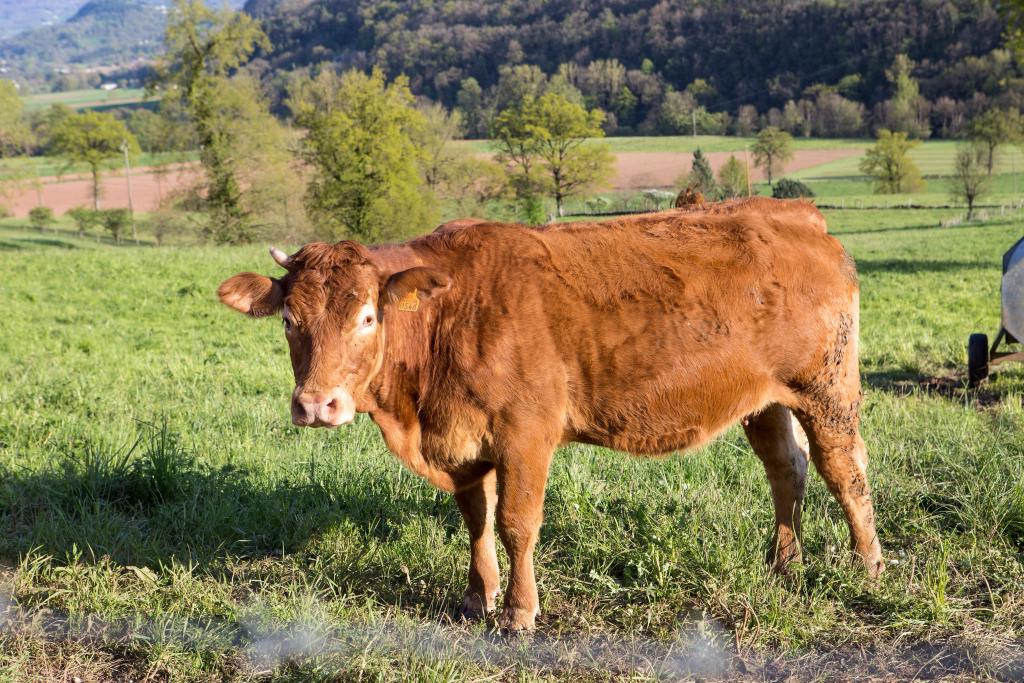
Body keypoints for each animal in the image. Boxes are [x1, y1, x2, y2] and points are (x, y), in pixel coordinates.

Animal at [220, 196, 884, 630]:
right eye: (289, 319)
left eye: (366, 316)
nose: (317, 405)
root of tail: (792, 211)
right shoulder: (465, 441)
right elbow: (477, 519)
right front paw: (477, 596)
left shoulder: (525, 434)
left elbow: (517, 523)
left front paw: (518, 611)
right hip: (765, 400)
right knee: (787, 469)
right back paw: (783, 564)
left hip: (827, 390)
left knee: (845, 472)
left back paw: (869, 567)